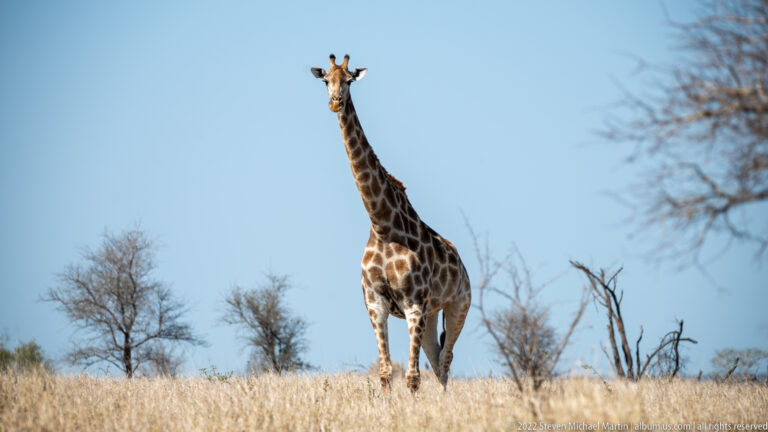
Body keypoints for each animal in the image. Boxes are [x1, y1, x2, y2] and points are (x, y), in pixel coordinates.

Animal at [311, 54, 471, 393]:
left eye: (349, 80)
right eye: (326, 80)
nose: (335, 102)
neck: (383, 225)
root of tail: (463, 266)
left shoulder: (414, 304)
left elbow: (412, 377)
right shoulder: (376, 303)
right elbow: (385, 372)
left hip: (458, 306)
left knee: (445, 361)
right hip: (432, 314)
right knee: (437, 360)